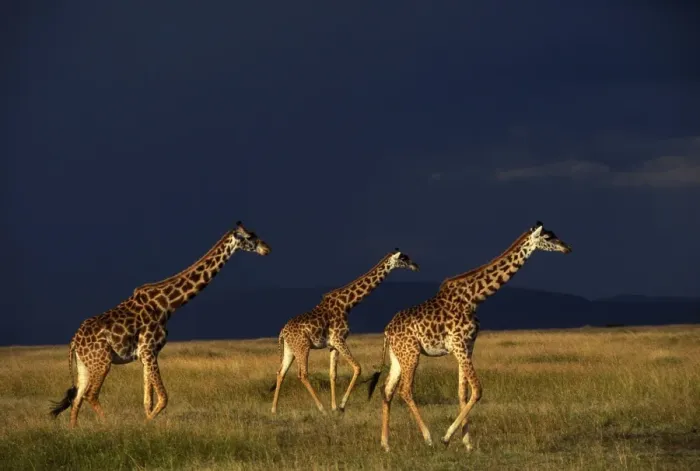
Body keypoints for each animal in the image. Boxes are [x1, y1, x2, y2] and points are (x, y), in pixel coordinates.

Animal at [49, 221, 271, 428]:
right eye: (250, 236)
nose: (267, 248)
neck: (167, 305)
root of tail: (73, 342)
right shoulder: (148, 350)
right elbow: (163, 398)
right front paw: (145, 425)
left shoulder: (146, 354)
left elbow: (148, 400)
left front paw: (147, 423)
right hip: (101, 361)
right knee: (90, 395)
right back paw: (107, 425)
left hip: (85, 364)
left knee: (77, 399)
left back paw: (74, 431)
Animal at [270, 249, 420, 415]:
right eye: (404, 258)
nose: (416, 266)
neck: (348, 304)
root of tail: (282, 332)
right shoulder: (339, 338)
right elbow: (357, 367)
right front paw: (341, 405)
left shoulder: (333, 345)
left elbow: (332, 374)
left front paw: (334, 407)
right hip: (303, 347)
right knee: (302, 374)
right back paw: (321, 408)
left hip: (290, 349)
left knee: (280, 372)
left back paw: (274, 409)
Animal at [367, 221, 572, 452]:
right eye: (547, 237)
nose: (567, 248)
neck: (474, 297)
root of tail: (387, 330)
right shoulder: (458, 344)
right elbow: (478, 390)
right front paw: (447, 437)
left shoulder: (468, 345)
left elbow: (462, 392)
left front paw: (467, 443)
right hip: (411, 353)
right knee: (405, 390)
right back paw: (427, 437)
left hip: (398, 356)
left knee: (387, 389)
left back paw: (385, 444)